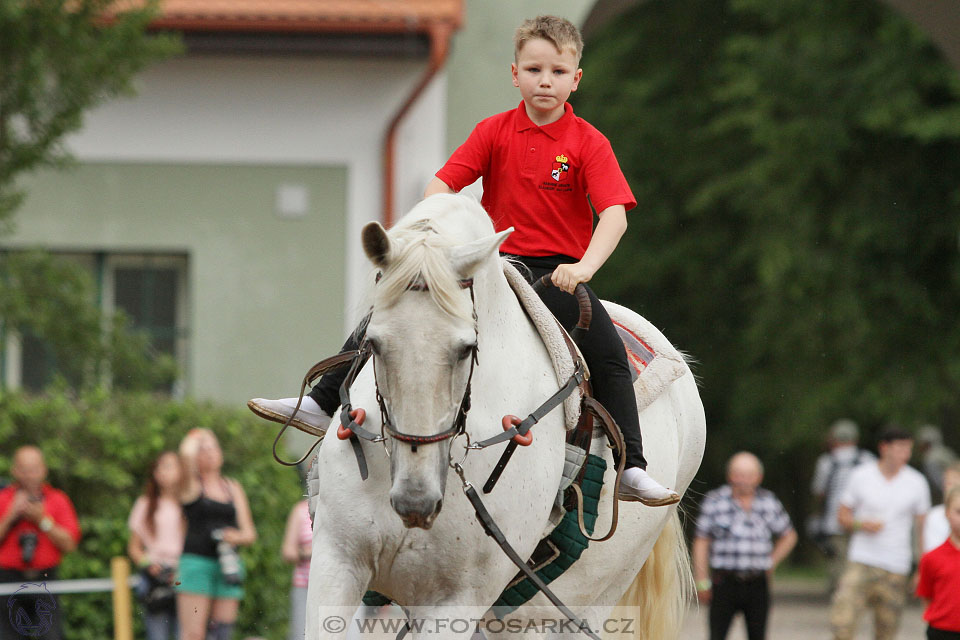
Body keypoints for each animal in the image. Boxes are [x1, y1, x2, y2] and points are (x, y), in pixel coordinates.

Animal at [308, 195, 704, 640]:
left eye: (467, 348)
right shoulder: (337, 563)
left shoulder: (457, 599)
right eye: (373, 343)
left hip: (574, 606)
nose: (415, 500)